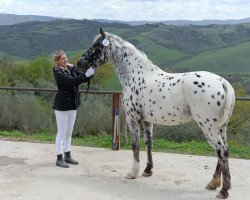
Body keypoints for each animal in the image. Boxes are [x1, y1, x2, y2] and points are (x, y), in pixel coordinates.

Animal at [77, 27, 235, 198]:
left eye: (97, 46)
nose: (80, 63)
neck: (135, 74)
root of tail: (223, 83)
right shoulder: (147, 121)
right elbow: (149, 143)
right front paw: (147, 170)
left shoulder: (133, 118)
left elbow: (135, 145)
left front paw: (133, 173)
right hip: (221, 127)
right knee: (222, 151)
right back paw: (213, 183)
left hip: (208, 127)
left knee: (222, 151)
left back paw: (223, 190)